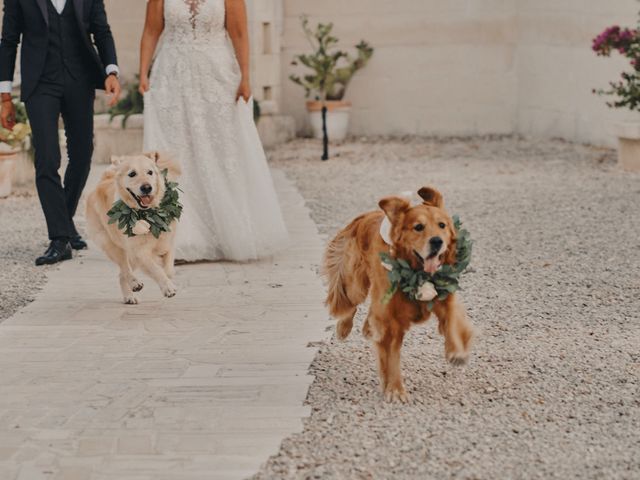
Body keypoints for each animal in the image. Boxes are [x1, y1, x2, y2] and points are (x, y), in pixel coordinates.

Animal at [86, 153, 181, 304]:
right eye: (132, 174)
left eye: (150, 172)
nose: (147, 188)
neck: (147, 215)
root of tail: (103, 181)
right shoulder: (140, 252)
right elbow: (156, 269)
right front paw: (168, 288)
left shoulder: (168, 244)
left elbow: (168, 270)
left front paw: (168, 280)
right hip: (111, 244)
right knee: (125, 268)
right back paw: (134, 284)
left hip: (130, 255)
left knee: (121, 274)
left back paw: (129, 295)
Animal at [328, 187, 472, 402]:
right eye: (418, 227)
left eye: (442, 225)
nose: (437, 241)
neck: (417, 272)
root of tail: (365, 216)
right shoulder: (391, 320)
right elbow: (392, 357)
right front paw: (395, 389)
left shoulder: (444, 294)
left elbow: (453, 322)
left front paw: (456, 352)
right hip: (356, 283)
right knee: (349, 302)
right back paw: (344, 328)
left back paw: (368, 327)